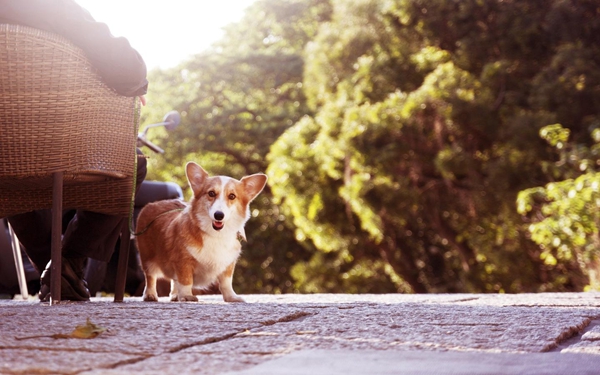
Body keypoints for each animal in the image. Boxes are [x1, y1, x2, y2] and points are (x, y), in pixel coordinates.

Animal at [137, 162, 268, 302]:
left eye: (232, 196)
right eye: (211, 193)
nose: (218, 215)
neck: (216, 235)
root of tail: (153, 204)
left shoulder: (228, 264)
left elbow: (226, 283)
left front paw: (231, 297)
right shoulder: (183, 261)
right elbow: (185, 280)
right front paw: (187, 296)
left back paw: (176, 295)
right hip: (147, 258)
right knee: (150, 277)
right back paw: (150, 295)